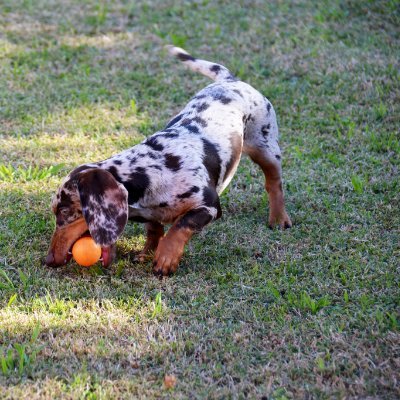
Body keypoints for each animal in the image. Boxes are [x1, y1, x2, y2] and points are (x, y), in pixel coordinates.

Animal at [45, 46, 292, 276]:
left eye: (65, 211)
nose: (47, 260)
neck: (153, 171)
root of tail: (230, 80)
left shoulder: (210, 206)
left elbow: (180, 226)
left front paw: (166, 258)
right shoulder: (148, 214)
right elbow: (155, 229)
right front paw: (147, 253)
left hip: (265, 148)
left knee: (274, 183)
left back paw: (279, 219)